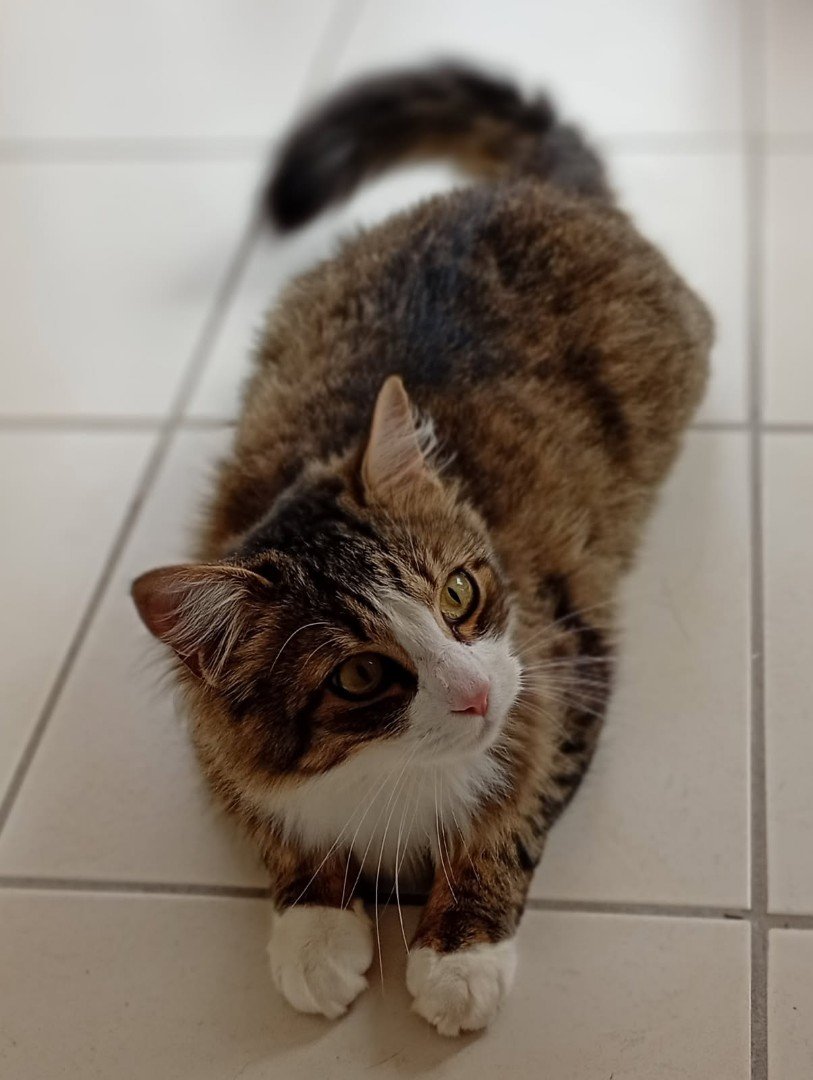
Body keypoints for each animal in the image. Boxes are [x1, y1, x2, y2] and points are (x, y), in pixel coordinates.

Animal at [131, 64, 711, 1036]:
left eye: (459, 596)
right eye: (360, 675)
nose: (474, 695)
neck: (387, 774)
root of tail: (511, 188)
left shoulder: (563, 659)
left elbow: (507, 818)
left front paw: (458, 952)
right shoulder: (219, 751)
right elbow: (278, 833)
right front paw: (316, 931)